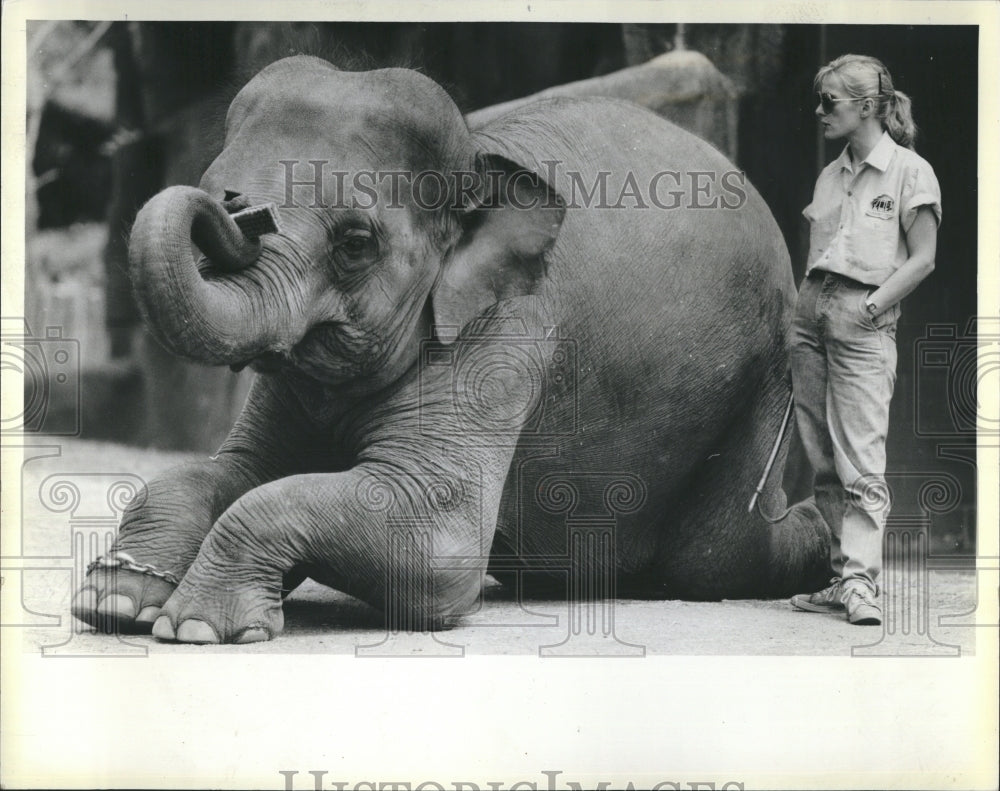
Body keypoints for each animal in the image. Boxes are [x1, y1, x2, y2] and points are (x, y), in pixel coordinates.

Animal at [72, 57, 828, 648]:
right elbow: (228, 474)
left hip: (767, 373)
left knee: (711, 556)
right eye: (214, 184)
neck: (479, 154)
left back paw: (819, 537)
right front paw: (115, 601)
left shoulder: (504, 338)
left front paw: (198, 625)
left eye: (355, 242)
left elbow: (436, 540)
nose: (229, 208)